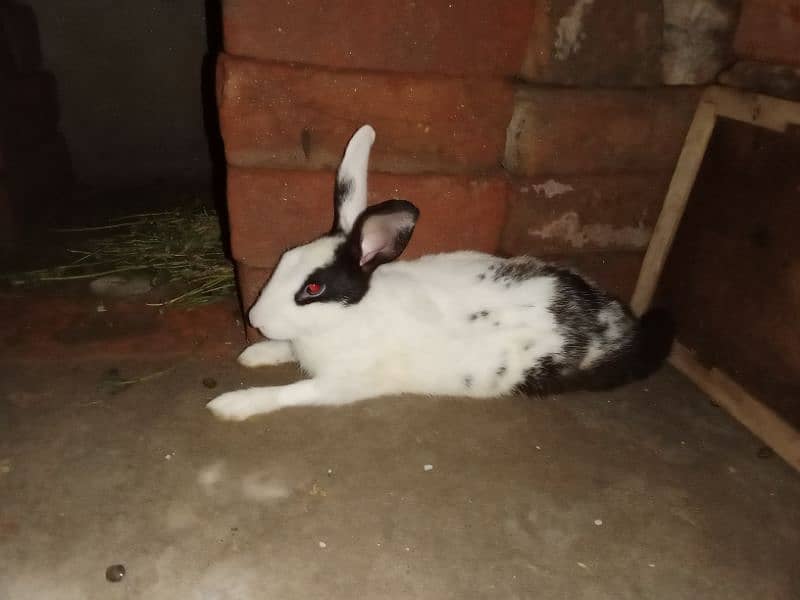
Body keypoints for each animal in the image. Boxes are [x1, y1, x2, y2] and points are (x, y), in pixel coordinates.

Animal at [208, 123, 676, 420]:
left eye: (314, 287)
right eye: (286, 259)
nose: (254, 318)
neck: (351, 316)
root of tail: (620, 323)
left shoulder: (341, 384)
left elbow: (290, 392)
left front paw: (231, 404)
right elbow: (285, 349)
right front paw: (255, 353)